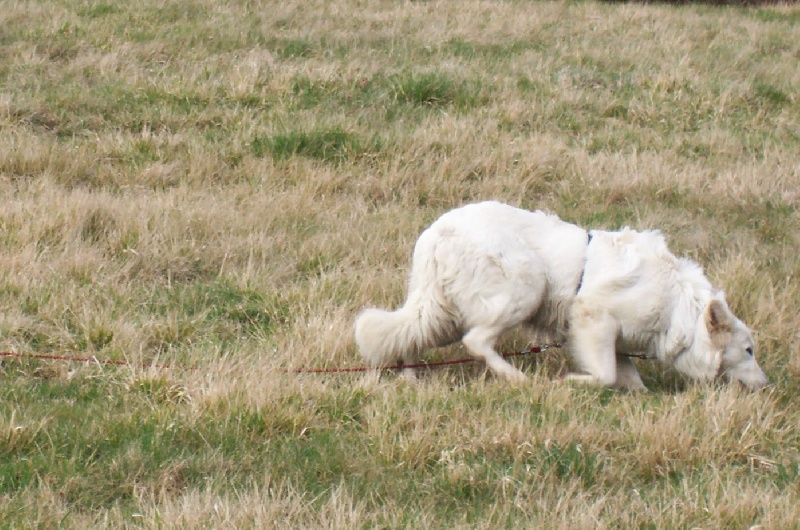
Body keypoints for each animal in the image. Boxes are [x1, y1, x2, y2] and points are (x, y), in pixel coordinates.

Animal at [354, 201, 769, 390]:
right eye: (748, 350)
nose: (767, 385)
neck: (678, 305)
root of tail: (436, 234)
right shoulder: (592, 318)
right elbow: (604, 375)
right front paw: (569, 381)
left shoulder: (617, 340)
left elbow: (631, 381)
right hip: (526, 289)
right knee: (477, 341)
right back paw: (516, 378)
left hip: (442, 314)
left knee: (408, 335)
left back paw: (410, 379)